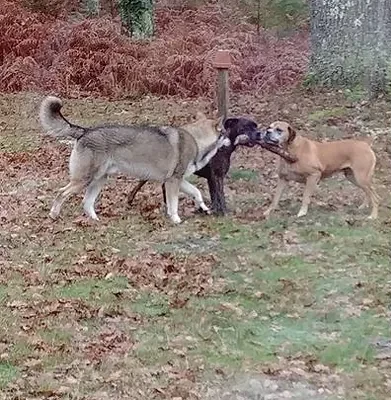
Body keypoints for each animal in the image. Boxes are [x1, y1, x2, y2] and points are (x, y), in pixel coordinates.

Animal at [39, 95, 233, 223]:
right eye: (225, 132)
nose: (231, 141)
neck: (196, 139)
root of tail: (85, 131)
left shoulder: (177, 180)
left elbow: (197, 192)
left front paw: (204, 208)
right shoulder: (173, 182)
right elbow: (174, 204)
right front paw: (176, 219)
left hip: (99, 180)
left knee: (86, 203)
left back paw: (96, 221)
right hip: (84, 180)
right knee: (61, 193)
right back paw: (54, 215)